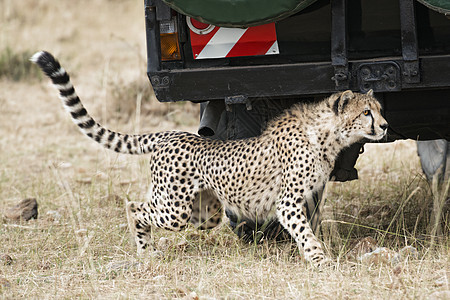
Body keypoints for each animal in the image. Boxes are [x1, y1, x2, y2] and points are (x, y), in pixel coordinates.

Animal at [32, 51, 390, 268]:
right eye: (366, 113)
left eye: (379, 110)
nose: (386, 126)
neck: (326, 133)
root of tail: (171, 134)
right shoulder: (288, 201)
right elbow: (305, 232)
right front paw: (321, 261)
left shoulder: (311, 194)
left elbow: (311, 227)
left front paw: (316, 254)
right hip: (175, 210)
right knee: (134, 207)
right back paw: (146, 252)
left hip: (203, 212)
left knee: (148, 204)